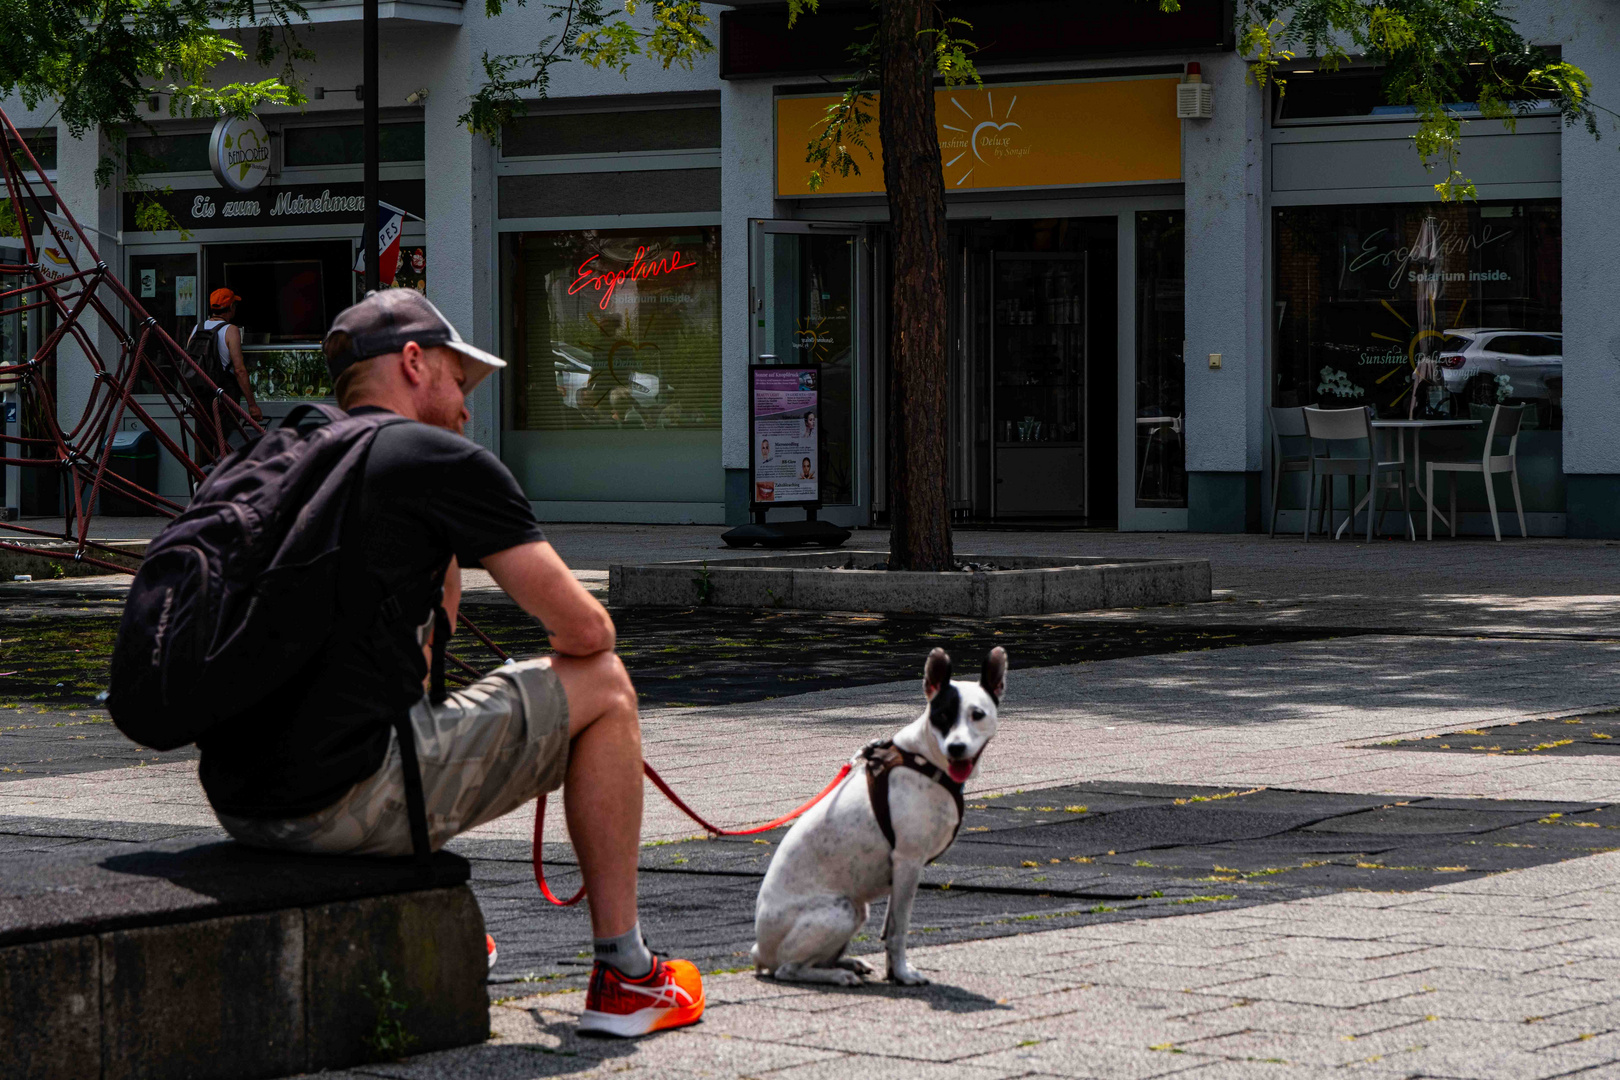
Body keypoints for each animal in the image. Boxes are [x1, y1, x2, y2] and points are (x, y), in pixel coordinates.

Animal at [751, 647, 1004, 984]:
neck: (924, 760)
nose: (957, 747)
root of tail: (760, 950)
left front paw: (894, 972)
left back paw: (847, 964)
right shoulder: (908, 862)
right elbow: (898, 929)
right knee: (788, 969)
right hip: (842, 910)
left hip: (858, 910)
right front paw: (903, 974)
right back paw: (837, 976)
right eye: (942, 716)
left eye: (977, 714)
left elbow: (890, 927)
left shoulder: (901, 872)